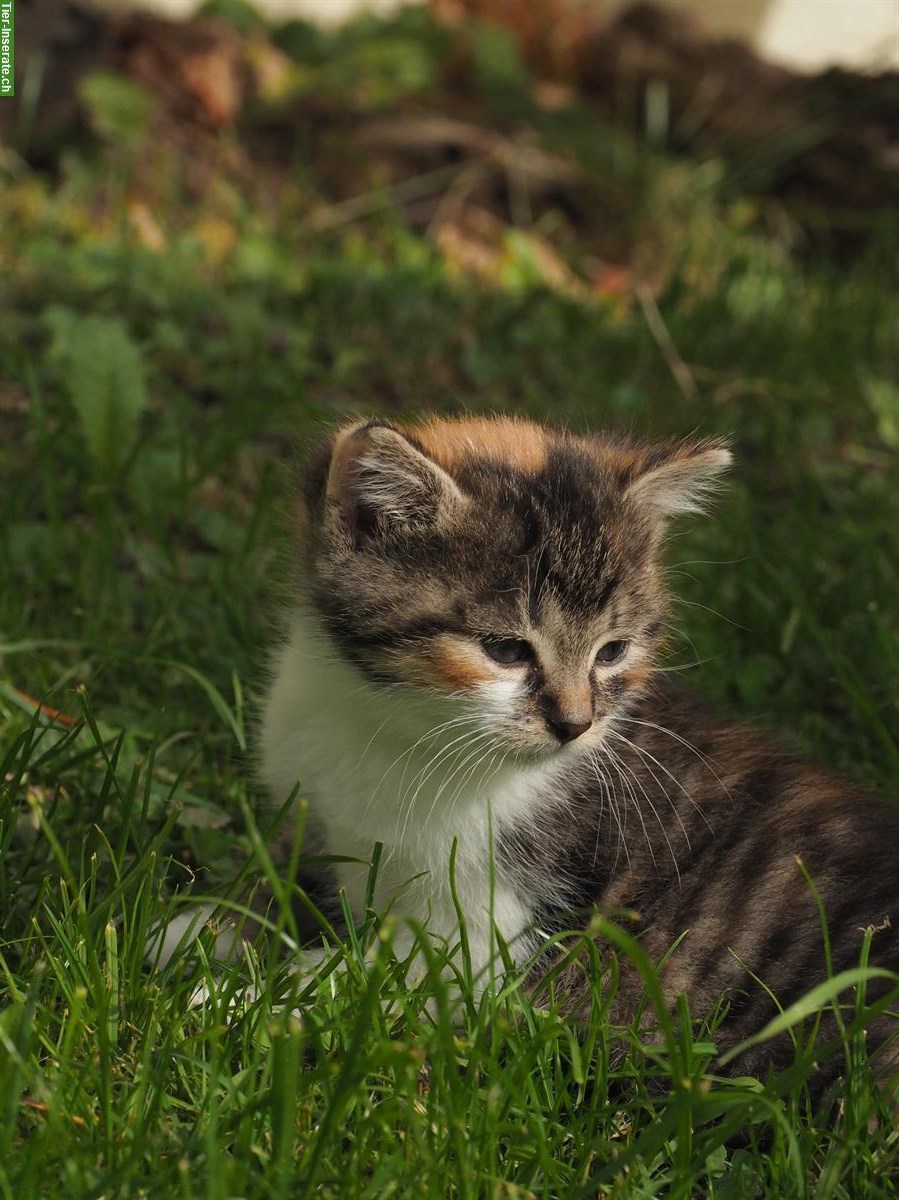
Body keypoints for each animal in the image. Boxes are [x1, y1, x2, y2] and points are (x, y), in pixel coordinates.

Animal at [259, 417, 897, 1084]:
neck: (394, 728)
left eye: (612, 651)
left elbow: (374, 983)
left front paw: (247, 995)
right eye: (505, 650)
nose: (574, 723)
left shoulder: (485, 940)